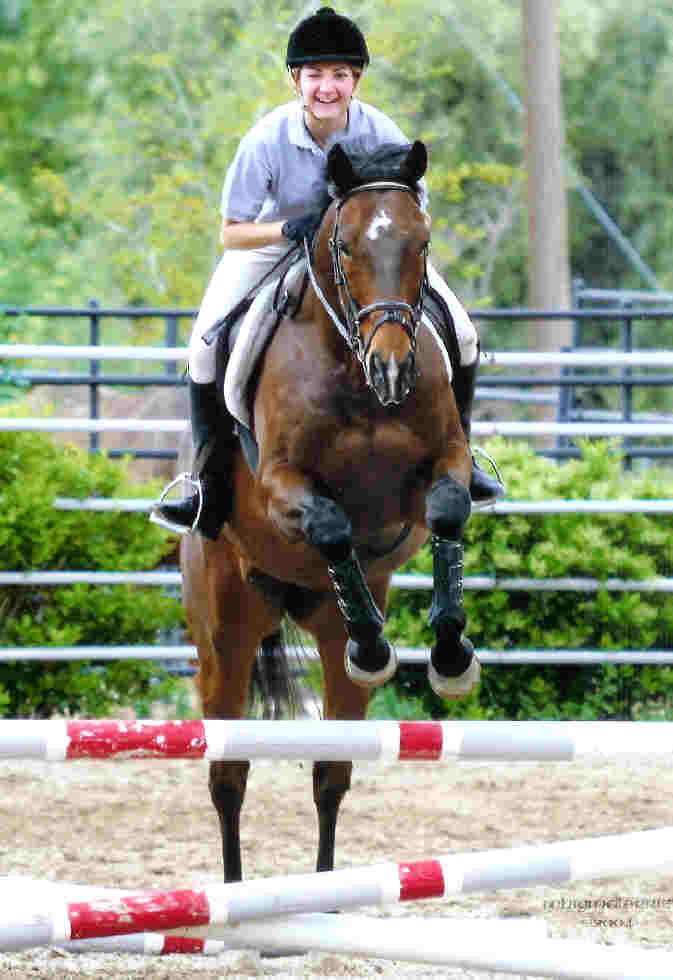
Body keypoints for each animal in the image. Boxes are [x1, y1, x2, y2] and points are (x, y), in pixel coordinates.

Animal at [180, 138, 478, 880]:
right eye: (344, 246)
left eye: (423, 241)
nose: (394, 369)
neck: (350, 367)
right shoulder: (283, 484)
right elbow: (332, 525)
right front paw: (376, 645)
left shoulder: (437, 472)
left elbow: (448, 513)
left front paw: (450, 653)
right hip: (224, 636)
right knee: (228, 775)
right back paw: (236, 898)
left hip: (321, 636)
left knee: (329, 774)